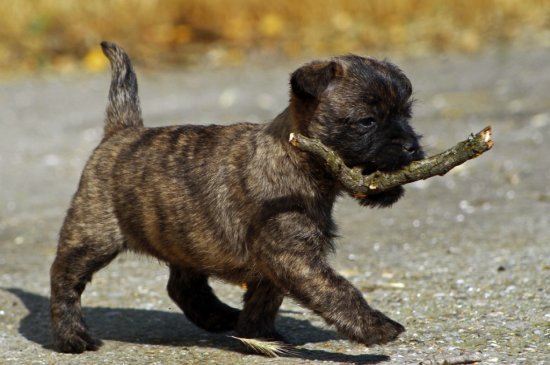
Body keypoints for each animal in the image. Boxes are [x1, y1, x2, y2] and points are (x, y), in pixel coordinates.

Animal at [49, 41, 424, 352]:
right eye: (367, 121)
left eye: (406, 115)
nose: (411, 146)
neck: (296, 158)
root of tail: (121, 132)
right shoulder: (294, 257)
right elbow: (338, 291)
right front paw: (376, 327)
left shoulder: (277, 262)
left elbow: (264, 299)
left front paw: (259, 336)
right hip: (92, 235)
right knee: (64, 277)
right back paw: (72, 337)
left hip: (185, 238)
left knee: (183, 287)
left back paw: (219, 317)